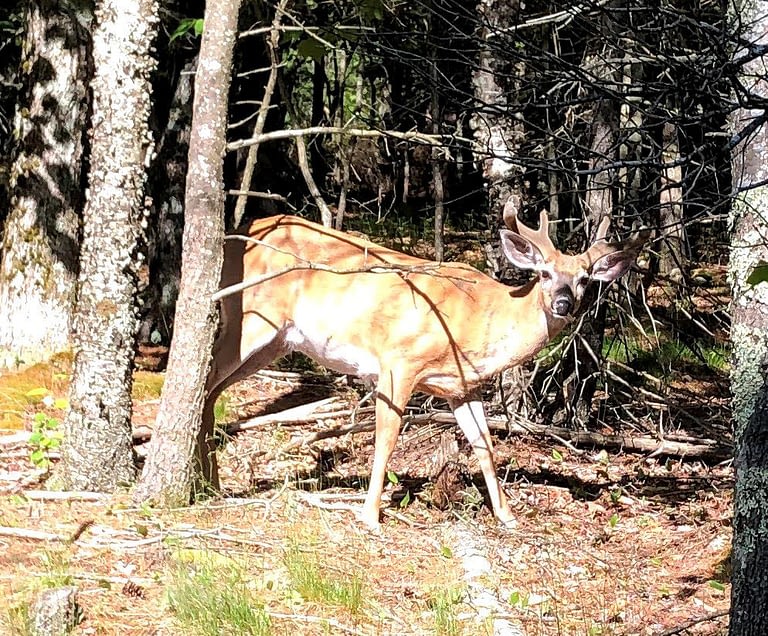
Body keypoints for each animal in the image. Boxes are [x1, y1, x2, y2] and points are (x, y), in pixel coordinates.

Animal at [202, 200, 648, 532]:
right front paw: (370, 515)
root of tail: (235, 236)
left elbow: (485, 444)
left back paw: (210, 479)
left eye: (585, 279)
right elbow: (387, 437)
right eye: (543, 273)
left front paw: (506, 515)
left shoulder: (462, 387)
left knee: (212, 388)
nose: (563, 304)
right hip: (252, 316)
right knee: (205, 380)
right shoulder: (398, 360)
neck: (478, 319)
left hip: (276, 340)